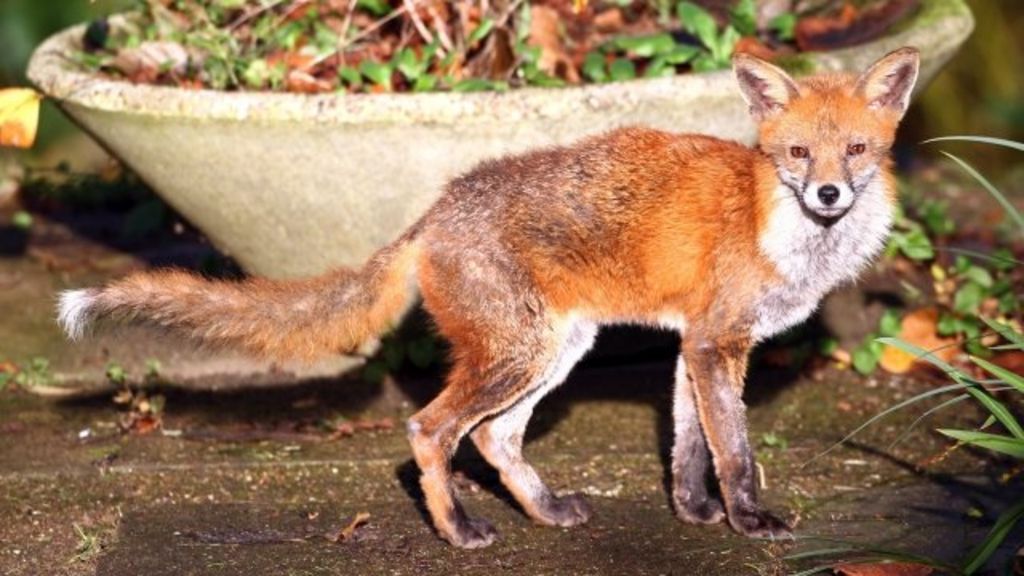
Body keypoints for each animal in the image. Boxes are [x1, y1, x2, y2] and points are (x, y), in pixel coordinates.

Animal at [56, 47, 920, 548]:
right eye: (797, 153)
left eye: (858, 150)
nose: (831, 195)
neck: (777, 221)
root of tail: (434, 210)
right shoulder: (716, 343)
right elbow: (735, 451)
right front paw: (748, 522)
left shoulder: (694, 344)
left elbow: (688, 448)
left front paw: (693, 514)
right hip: (520, 354)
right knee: (432, 430)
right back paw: (460, 532)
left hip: (554, 352)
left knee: (496, 439)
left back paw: (544, 513)